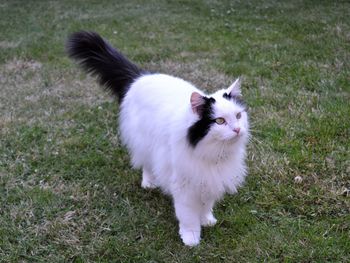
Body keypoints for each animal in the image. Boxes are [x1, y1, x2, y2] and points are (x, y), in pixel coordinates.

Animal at [67, 31, 250, 248]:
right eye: (220, 121)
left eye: (238, 116)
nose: (237, 129)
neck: (212, 152)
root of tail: (140, 77)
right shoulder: (184, 185)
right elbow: (188, 216)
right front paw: (191, 238)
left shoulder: (209, 179)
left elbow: (206, 204)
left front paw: (207, 220)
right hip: (145, 143)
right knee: (146, 164)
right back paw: (149, 183)